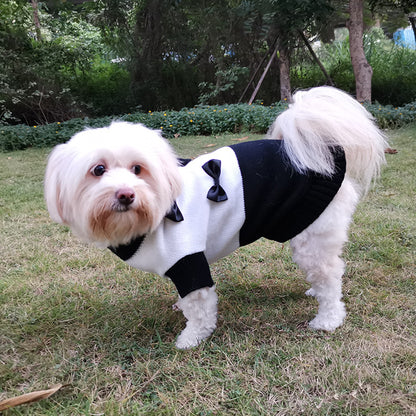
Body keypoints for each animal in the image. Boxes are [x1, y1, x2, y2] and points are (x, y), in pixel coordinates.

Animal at [44, 88, 386, 352]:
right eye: (98, 170)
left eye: (138, 169)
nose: (126, 194)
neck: (157, 210)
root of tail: (322, 148)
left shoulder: (188, 261)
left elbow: (200, 309)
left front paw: (191, 339)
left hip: (313, 234)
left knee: (330, 276)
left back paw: (328, 318)